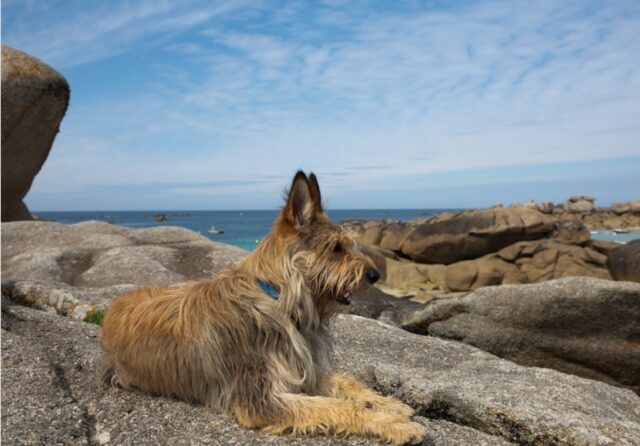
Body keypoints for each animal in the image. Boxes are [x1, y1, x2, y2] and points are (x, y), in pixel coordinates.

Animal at [100, 170, 428, 442]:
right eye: (336, 248)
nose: (375, 275)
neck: (277, 298)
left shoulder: (302, 368)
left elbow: (346, 382)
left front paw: (389, 405)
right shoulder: (260, 399)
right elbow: (338, 406)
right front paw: (394, 425)